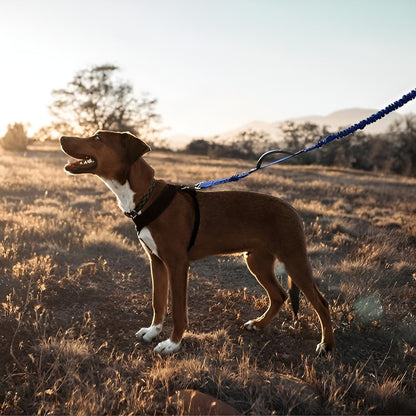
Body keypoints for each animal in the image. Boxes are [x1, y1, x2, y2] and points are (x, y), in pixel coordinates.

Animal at [61, 130, 334, 354]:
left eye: (97, 138)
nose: (62, 138)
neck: (146, 197)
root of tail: (291, 209)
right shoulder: (156, 262)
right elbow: (158, 302)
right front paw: (153, 332)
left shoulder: (177, 265)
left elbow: (178, 310)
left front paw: (172, 343)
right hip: (257, 261)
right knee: (279, 295)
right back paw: (259, 324)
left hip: (294, 259)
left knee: (321, 302)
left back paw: (326, 345)